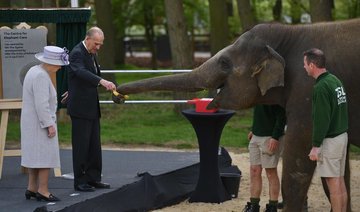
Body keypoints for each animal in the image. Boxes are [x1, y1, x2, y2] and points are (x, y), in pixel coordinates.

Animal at [114, 18, 360, 212]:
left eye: (224, 63)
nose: (117, 95)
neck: (291, 31)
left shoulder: (307, 92)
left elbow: (299, 158)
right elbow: (338, 173)